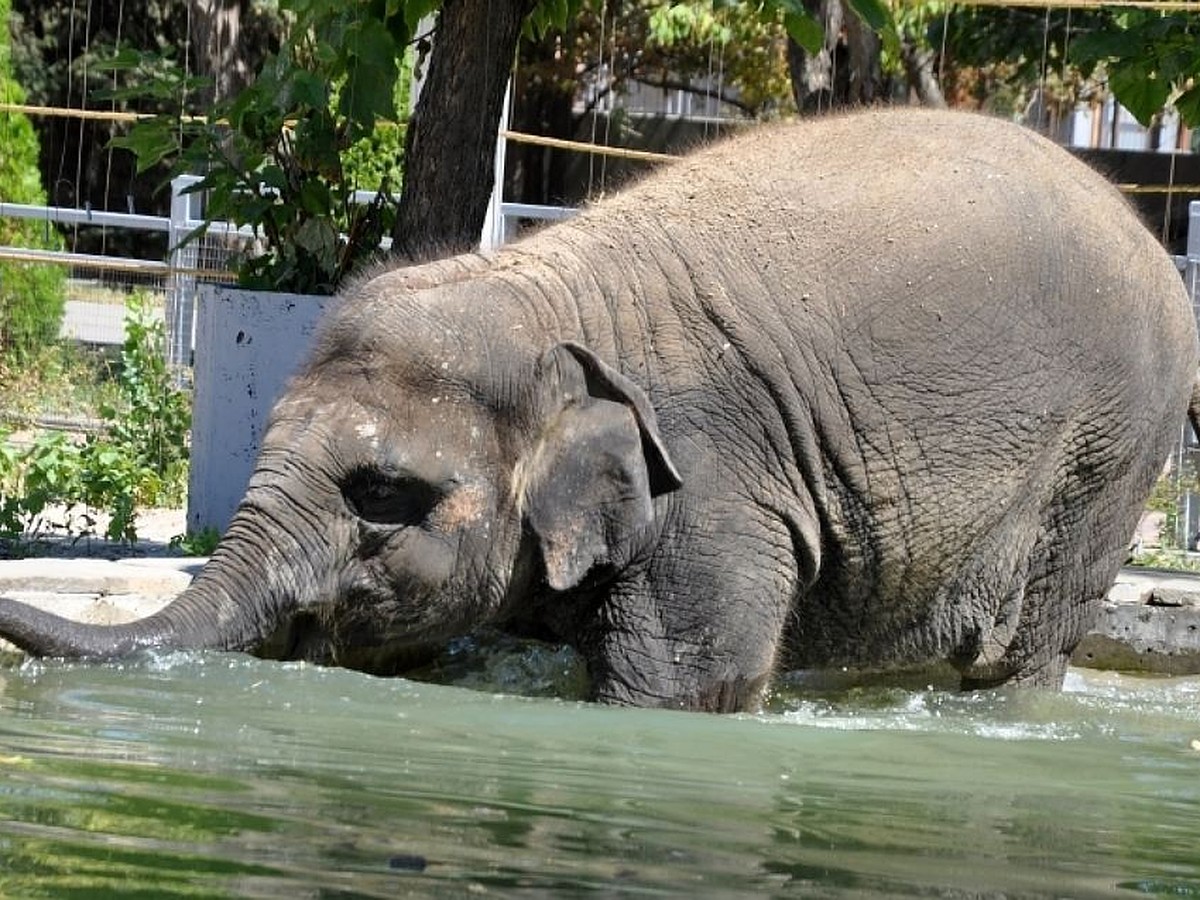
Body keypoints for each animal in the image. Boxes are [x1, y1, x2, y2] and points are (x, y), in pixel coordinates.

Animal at [2, 107, 1200, 710]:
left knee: (1023, 648)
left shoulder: (717, 485)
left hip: (1107, 460)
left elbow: (680, 690)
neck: (538, 291)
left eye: (381, 494)